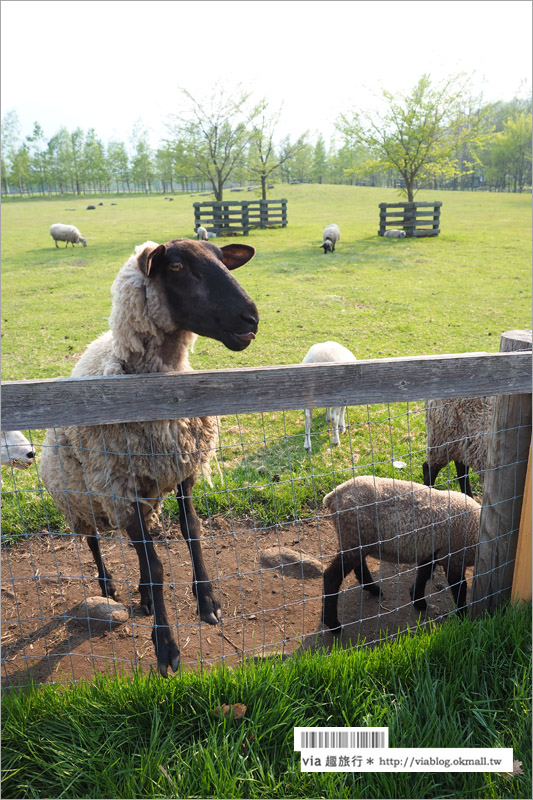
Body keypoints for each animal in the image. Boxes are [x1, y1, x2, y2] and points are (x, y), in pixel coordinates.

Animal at [40, 238, 258, 676]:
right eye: (175, 266)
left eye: (222, 259)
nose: (251, 317)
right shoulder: (119, 485)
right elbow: (157, 565)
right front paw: (166, 646)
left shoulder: (181, 470)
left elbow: (191, 530)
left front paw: (208, 600)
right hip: (83, 499)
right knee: (95, 542)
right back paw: (109, 586)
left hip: (141, 493)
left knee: (137, 545)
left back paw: (142, 594)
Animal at [322, 476, 480, 632]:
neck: (475, 529)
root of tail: (334, 495)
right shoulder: (454, 556)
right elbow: (460, 587)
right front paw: (463, 617)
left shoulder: (434, 552)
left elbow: (424, 574)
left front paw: (418, 601)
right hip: (355, 535)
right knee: (332, 576)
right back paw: (333, 623)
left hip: (356, 539)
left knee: (359, 564)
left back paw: (373, 588)